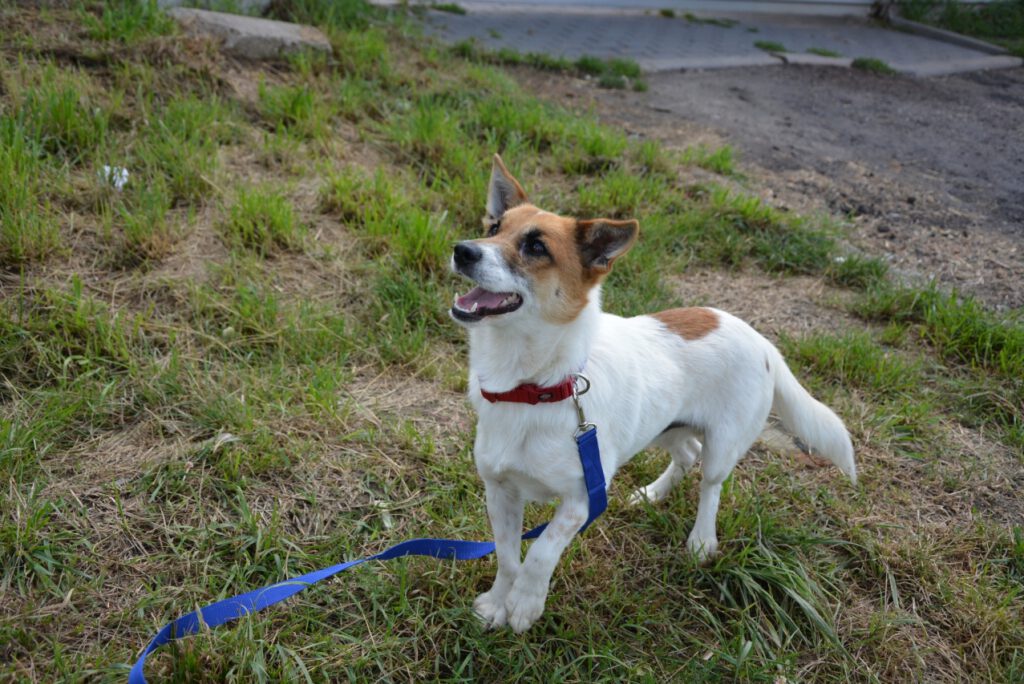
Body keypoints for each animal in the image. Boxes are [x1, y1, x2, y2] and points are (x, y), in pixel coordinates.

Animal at [448, 156, 856, 634]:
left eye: (535, 246)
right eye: (494, 227)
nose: (463, 250)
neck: (536, 386)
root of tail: (762, 341)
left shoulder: (583, 498)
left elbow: (541, 551)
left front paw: (527, 605)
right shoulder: (500, 490)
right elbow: (508, 556)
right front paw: (497, 603)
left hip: (724, 446)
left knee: (710, 484)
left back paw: (701, 541)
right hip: (663, 426)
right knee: (687, 454)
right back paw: (653, 494)